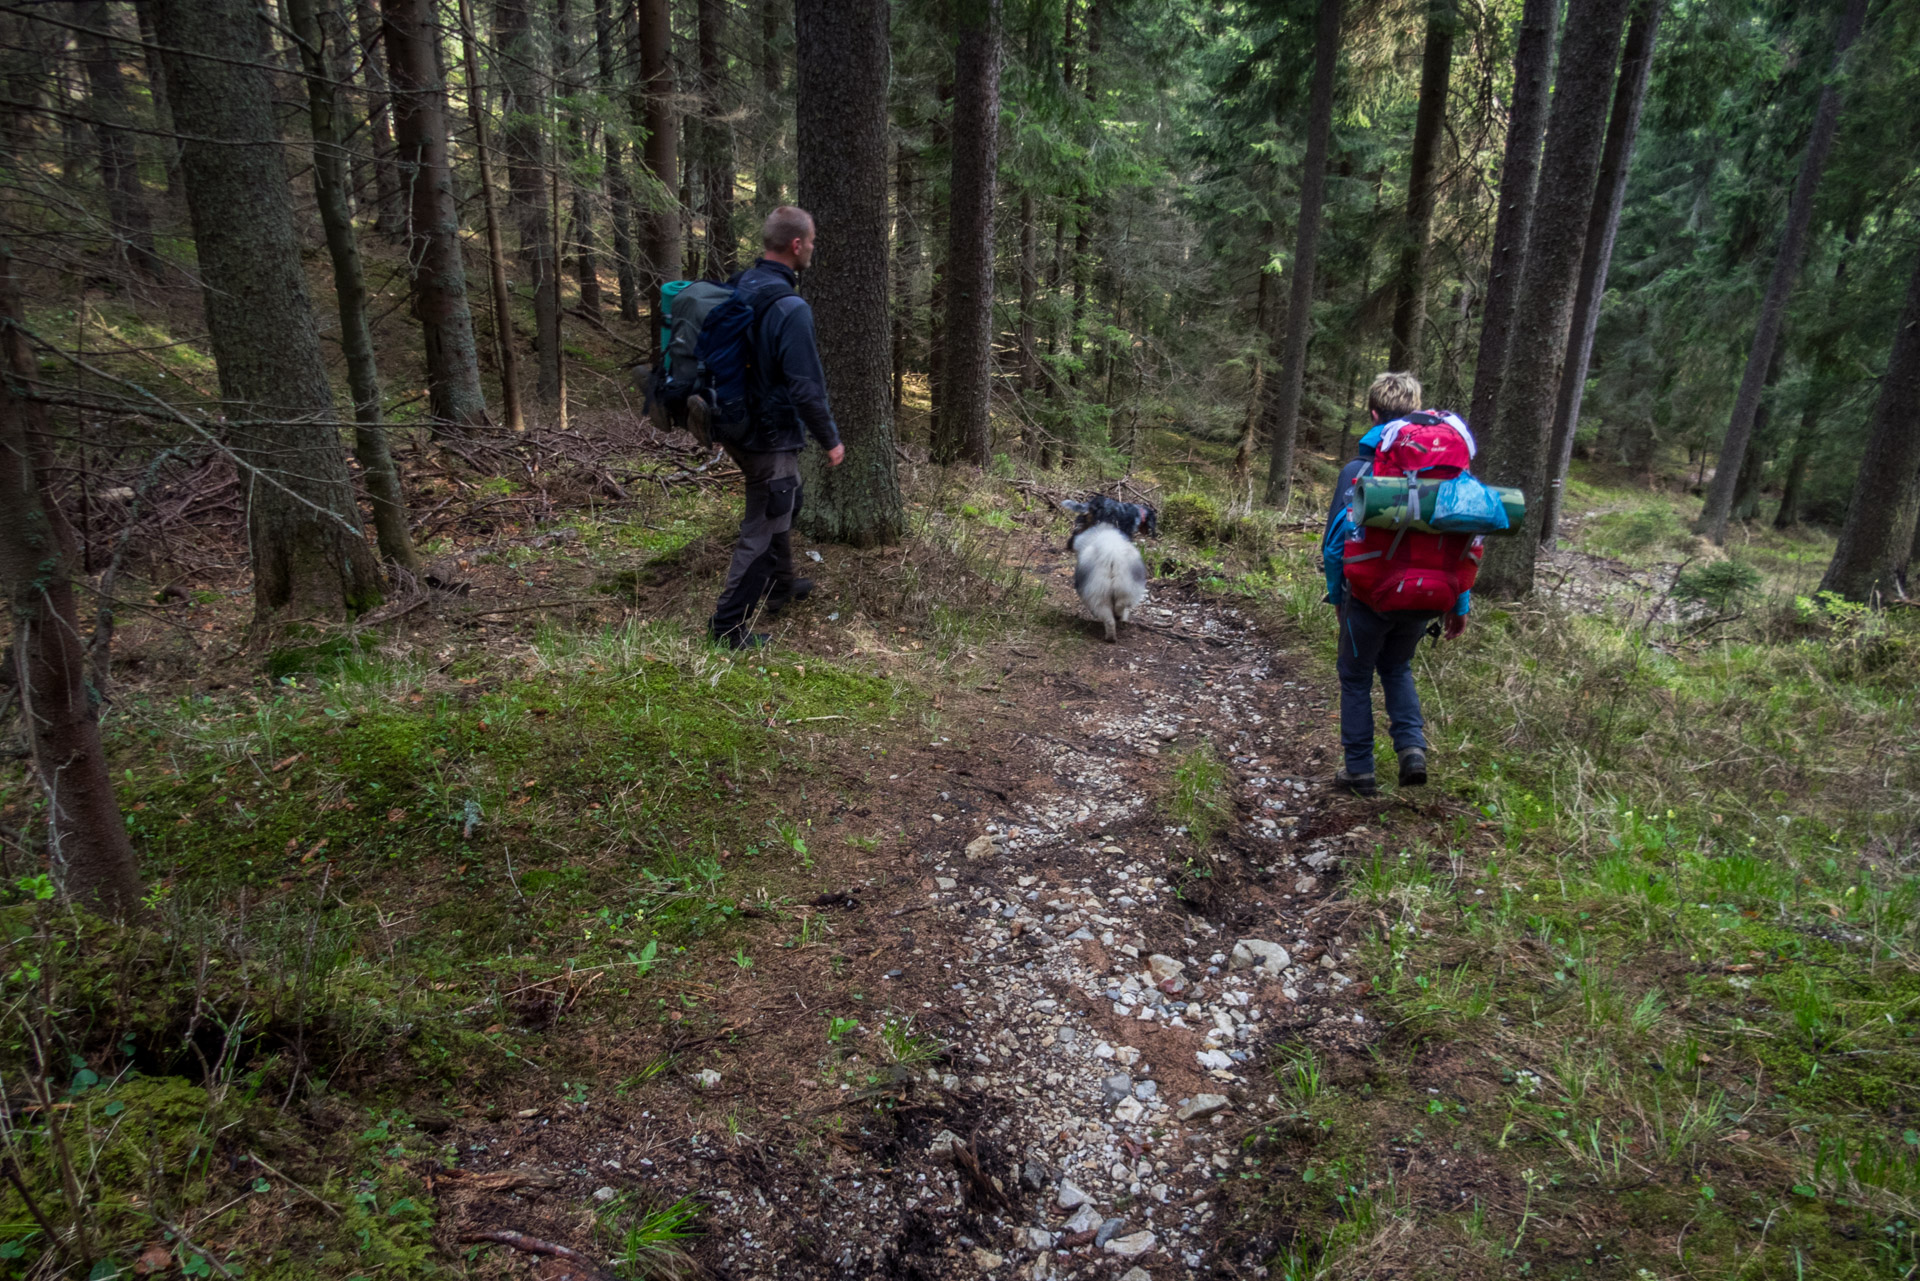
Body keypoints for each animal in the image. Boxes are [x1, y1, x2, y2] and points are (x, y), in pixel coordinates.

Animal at [1067, 499, 1152, 645]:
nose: (1069, 544)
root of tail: (1111, 554)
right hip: (1125, 587)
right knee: (1119, 608)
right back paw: (1115, 627)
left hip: (1099, 593)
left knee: (1110, 617)